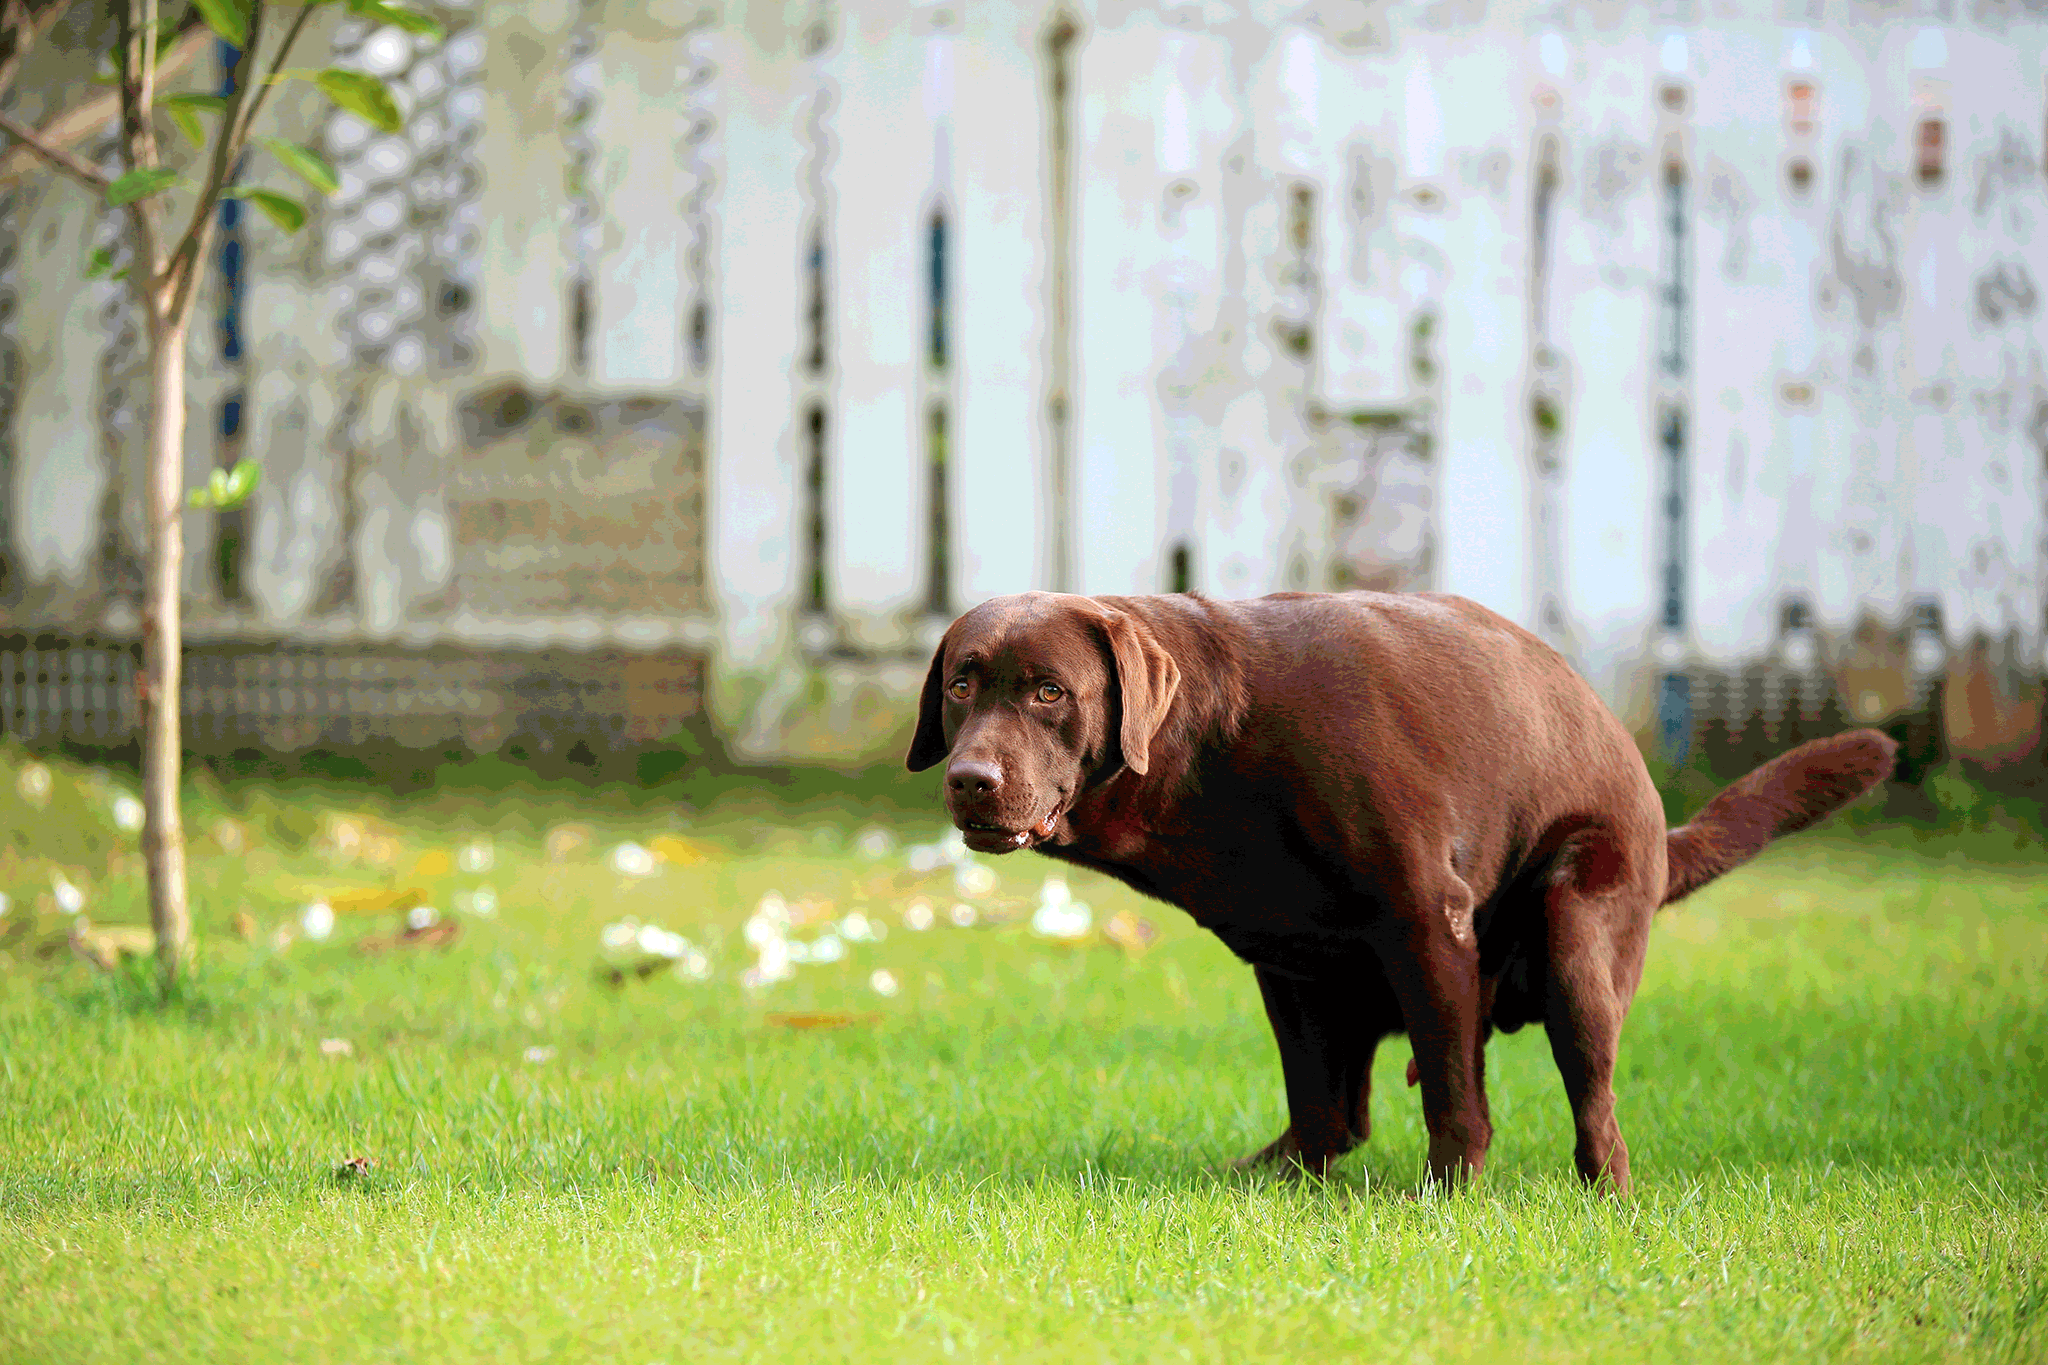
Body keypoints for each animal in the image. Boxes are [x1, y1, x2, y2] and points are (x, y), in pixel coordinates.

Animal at [913, 593, 1900, 1186]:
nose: (969, 780)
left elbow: (1456, 1098)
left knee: (1597, 1106)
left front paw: (1448, 1194)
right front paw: (1284, 1182)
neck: (1218, 743)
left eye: (1049, 692)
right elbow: (1319, 1098)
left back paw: (1603, 1195)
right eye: (962, 683)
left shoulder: (1428, 921)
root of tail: (1659, 821)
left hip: (1581, 929)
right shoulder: (1290, 962)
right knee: (1346, 1107)